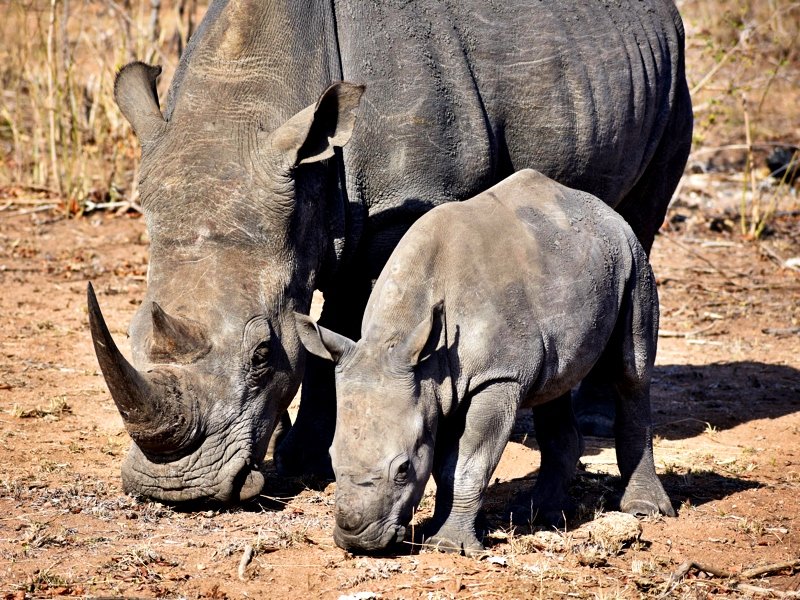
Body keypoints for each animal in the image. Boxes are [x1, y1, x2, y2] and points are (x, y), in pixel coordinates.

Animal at [86, 0, 688, 502]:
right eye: (133, 334)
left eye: (262, 355)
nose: (172, 487)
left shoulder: (396, 211)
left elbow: (346, 321)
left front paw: (306, 460)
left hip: (673, 77)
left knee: (638, 220)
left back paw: (599, 417)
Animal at [296, 168, 672, 552]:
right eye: (331, 459)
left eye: (403, 469)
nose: (355, 539)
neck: (398, 336)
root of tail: (602, 209)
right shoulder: (431, 384)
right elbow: (445, 465)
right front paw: (443, 531)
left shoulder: (498, 377)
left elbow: (467, 462)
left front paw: (448, 545)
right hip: (574, 264)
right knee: (555, 383)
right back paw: (537, 514)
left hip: (632, 255)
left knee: (631, 371)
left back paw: (644, 510)